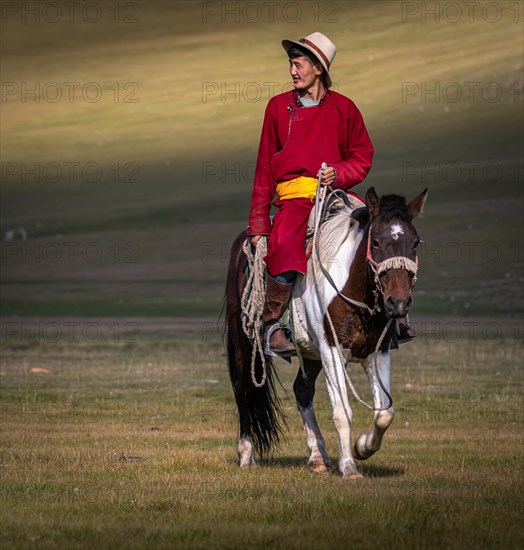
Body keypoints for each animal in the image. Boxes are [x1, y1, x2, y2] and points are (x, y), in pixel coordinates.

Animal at [224, 188, 426, 480]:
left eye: (415, 243)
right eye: (376, 242)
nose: (398, 303)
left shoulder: (377, 351)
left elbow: (385, 413)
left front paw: (362, 447)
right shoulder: (330, 349)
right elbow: (342, 411)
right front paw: (350, 467)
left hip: (309, 352)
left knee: (302, 390)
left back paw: (318, 456)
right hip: (244, 341)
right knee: (244, 389)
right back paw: (246, 454)